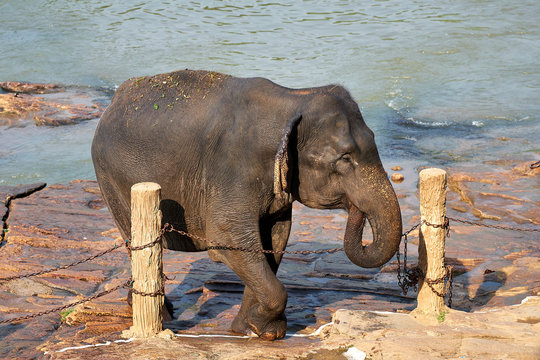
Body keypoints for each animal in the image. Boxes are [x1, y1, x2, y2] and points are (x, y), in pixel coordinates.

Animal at [92, 69, 400, 340]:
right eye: (345, 158)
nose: (356, 210)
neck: (295, 98)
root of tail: (116, 98)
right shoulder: (233, 171)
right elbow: (227, 238)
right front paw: (263, 328)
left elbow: (274, 240)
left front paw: (253, 329)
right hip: (112, 179)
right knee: (135, 239)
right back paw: (164, 315)